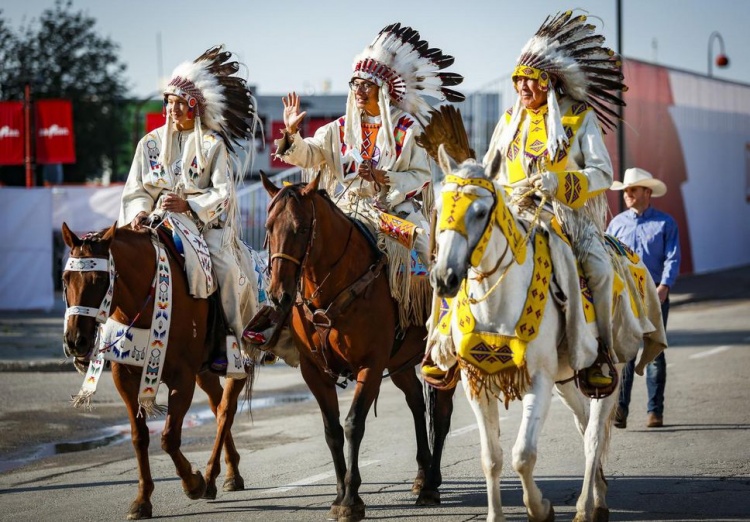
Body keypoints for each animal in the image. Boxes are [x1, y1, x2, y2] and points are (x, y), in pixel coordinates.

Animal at [62, 221, 250, 516]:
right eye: (65, 279)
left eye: (101, 281)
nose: (75, 341)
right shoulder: (125, 378)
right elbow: (139, 438)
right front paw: (142, 500)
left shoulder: (182, 379)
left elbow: (169, 438)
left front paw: (193, 483)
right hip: (204, 372)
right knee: (218, 405)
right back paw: (230, 473)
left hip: (238, 364)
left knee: (225, 412)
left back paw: (211, 476)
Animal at [258, 173, 458, 516]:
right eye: (269, 227)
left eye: (301, 228)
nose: (278, 295)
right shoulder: (314, 371)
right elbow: (332, 430)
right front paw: (339, 495)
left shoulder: (370, 365)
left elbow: (353, 424)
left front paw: (352, 499)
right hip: (399, 362)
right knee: (417, 402)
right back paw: (421, 476)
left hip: (441, 356)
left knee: (442, 413)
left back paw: (431, 485)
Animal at [426, 142, 668, 520]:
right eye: (443, 204)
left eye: (479, 211)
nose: (444, 278)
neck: (499, 303)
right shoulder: (476, 381)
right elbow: (491, 458)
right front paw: (496, 514)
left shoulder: (537, 378)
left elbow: (523, 455)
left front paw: (540, 508)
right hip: (566, 378)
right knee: (583, 425)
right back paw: (599, 493)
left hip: (610, 369)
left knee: (594, 436)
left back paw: (587, 507)